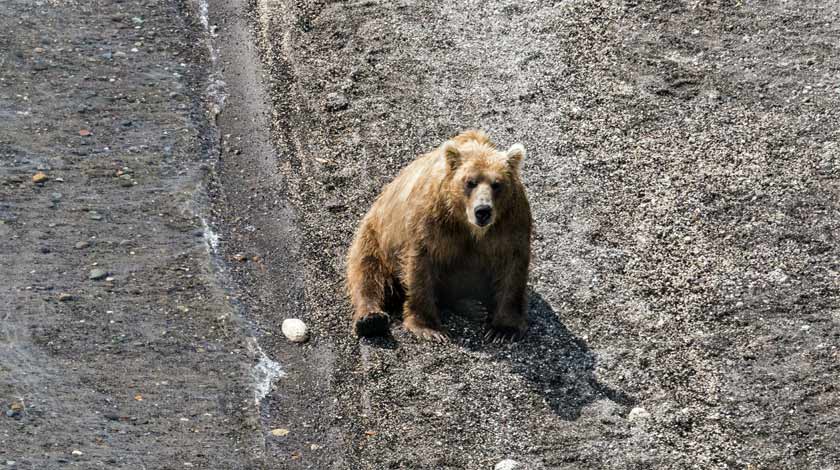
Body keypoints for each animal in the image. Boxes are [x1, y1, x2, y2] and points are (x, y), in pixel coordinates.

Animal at [346, 129, 532, 342]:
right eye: (470, 182)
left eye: (497, 184)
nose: (483, 211)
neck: (468, 225)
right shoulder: (433, 221)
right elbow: (421, 264)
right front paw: (428, 327)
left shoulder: (510, 223)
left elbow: (513, 266)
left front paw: (503, 329)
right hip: (374, 235)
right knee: (367, 270)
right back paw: (370, 319)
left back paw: (472, 306)